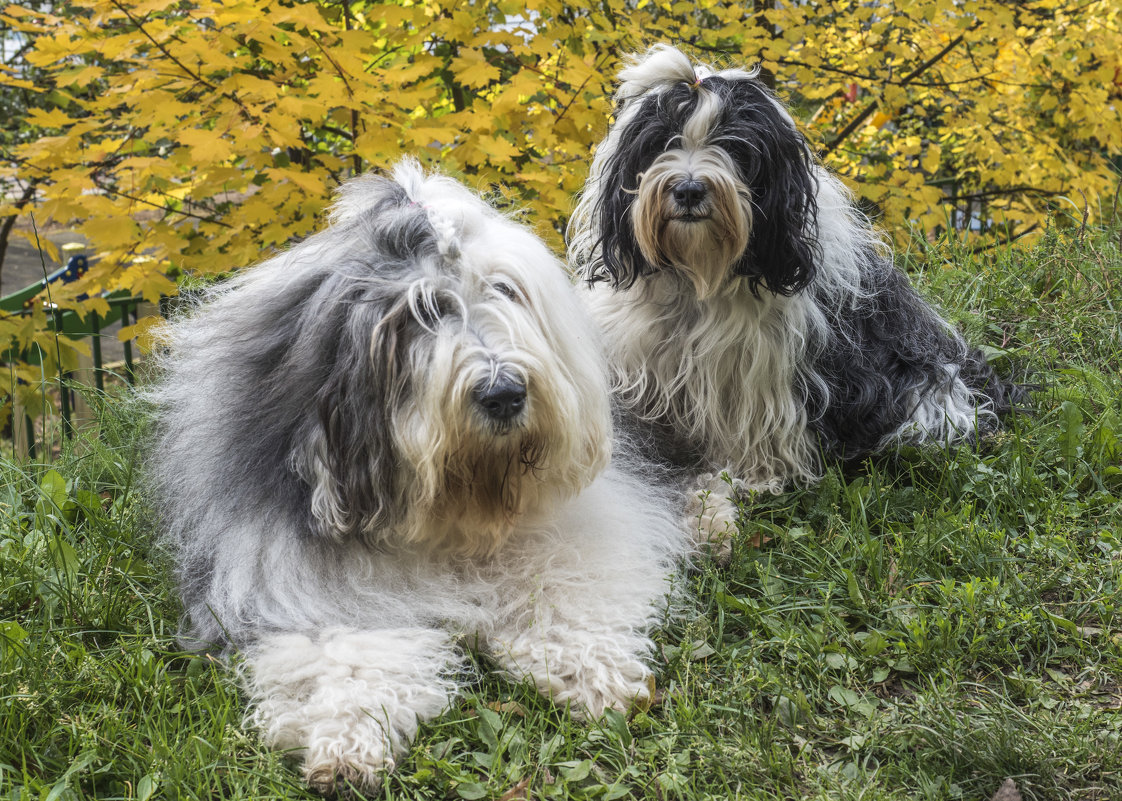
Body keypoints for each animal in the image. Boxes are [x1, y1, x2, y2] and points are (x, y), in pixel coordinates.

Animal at [146, 159, 691, 789]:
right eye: (422, 311)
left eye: (505, 290)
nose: (504, 394)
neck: (453, 510)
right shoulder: (294, 581)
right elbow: (344, 655)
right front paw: (347, 741)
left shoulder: (576, 532)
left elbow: (563, 585)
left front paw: (594, 672)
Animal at [574, 45, 1023, 518]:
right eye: (662, 142)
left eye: (735, 146)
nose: (690, 190)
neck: (699, 275)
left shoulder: (763, 385)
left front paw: (732, 490)